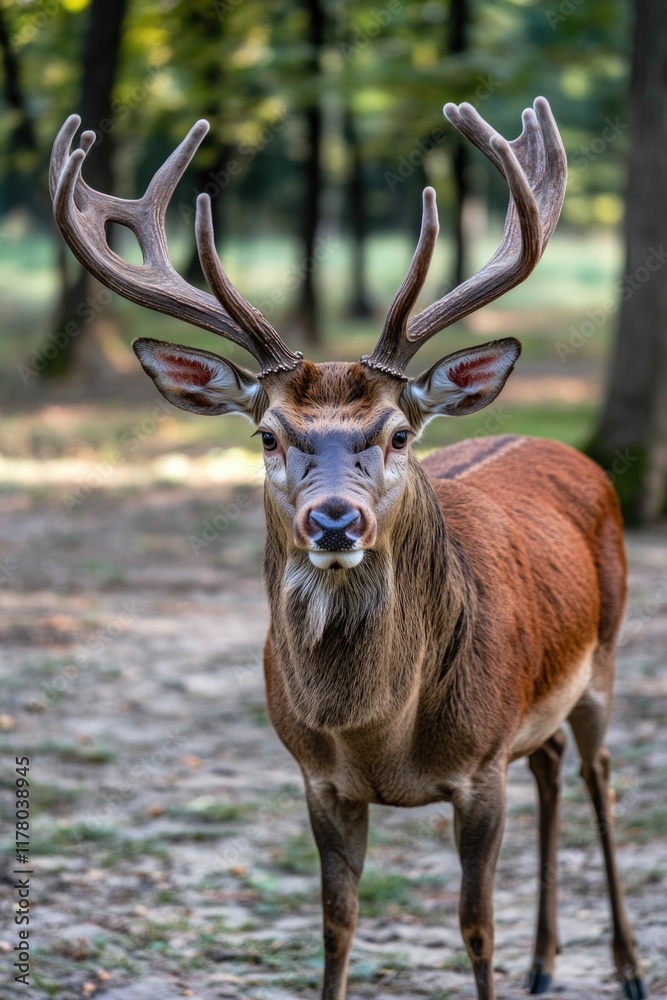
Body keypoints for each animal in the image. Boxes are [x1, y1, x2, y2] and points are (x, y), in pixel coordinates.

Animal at [50, 97, 647, 1000]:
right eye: (266, 433)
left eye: (399, 432)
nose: (335, 522)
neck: (380, 734)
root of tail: (570, 453)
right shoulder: (316, 777)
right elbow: (336, 924)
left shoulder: (480, 768)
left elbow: (476, 927)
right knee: (550, 770)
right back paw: (546, 964)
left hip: (604, 657)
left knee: (596, 777)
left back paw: (627, 966)